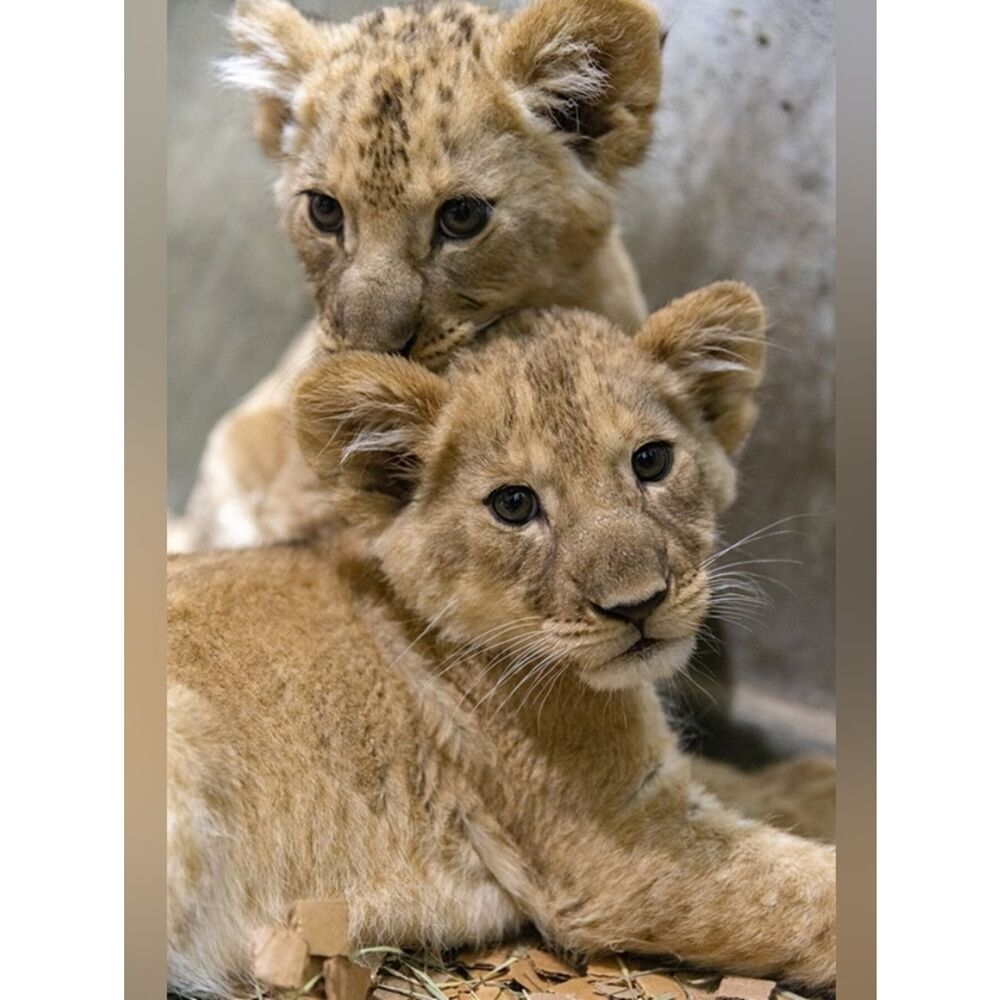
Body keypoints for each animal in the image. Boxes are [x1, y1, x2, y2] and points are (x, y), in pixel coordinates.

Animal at [168, 283, 835, 998]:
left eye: (652, 460)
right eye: (514, 505)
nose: (639, 605)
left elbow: (747, 783)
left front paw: (821, 778)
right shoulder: (623, 850)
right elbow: (808, 896)